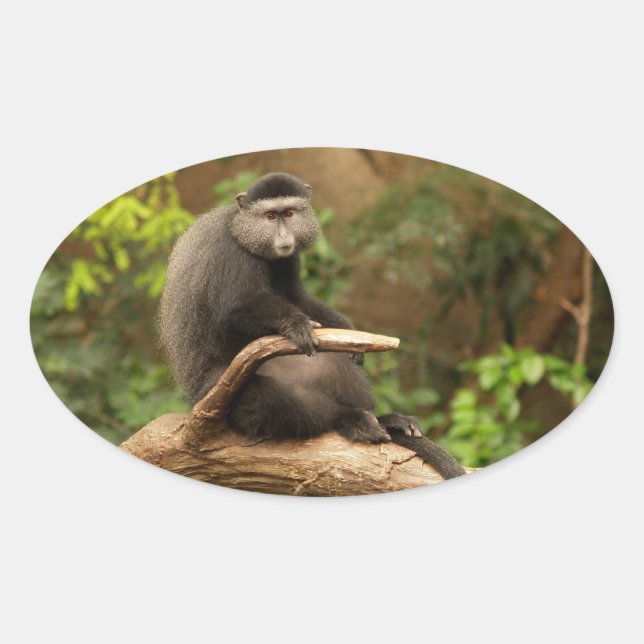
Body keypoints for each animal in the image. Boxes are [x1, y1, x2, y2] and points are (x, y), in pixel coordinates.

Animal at [159, 172, 466, 480]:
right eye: (270, 216)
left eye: (289, 214)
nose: (284, 236)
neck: (242, 230)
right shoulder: (231, 254)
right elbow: (232, 311)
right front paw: (295, 324)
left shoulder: (287, 259)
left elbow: (297, 297)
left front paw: (347, 332)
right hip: (222, 391)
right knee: (271, 402)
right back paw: (350, 420)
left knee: (334, 364)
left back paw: (385, 420)